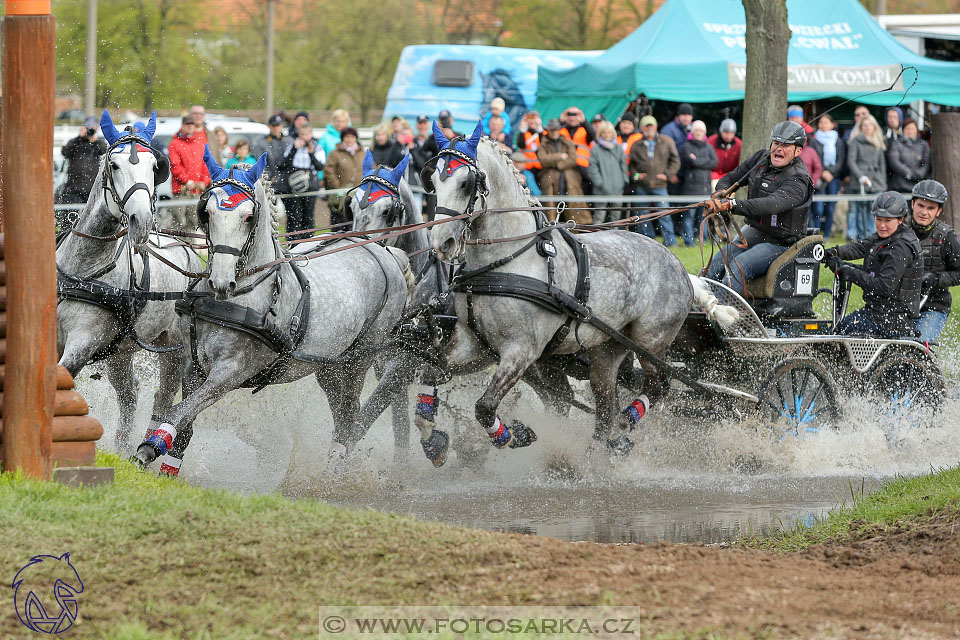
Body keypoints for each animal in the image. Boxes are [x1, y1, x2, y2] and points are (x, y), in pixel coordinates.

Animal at [55, 109, 202, 450]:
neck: (83, 271)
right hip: (119, 352)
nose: (142, 220)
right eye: (115, 165)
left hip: (174, 348)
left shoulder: (81, 343)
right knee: (129, 395)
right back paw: (122, 450)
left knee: (163, 397)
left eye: (154, 166)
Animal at [132, 148, 412, 472]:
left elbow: (178, 413)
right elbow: (185, 425)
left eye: (248, 216)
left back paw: (335, 468)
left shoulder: (231, 371)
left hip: (361, 355)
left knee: (351, 408)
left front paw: (148, 449)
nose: (220, 281)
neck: (236, 297)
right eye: (207, 212)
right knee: (340, 408)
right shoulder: (194, 367)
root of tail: (383, 251)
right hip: (328, 363)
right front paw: (165, 468)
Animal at [428, 121, 736, 456]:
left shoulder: (522, 350)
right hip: (608, 349)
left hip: (650, 341)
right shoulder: (474, 342)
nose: (441, 243)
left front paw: (515, 435)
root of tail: (682, 269)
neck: (507, 261)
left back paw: (625, 425)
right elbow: (435, 367)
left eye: (465, 183)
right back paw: (592, 457)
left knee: (658, 387)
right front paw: (428, 427)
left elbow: (485, 407)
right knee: (604, 407)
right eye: (432, 181)